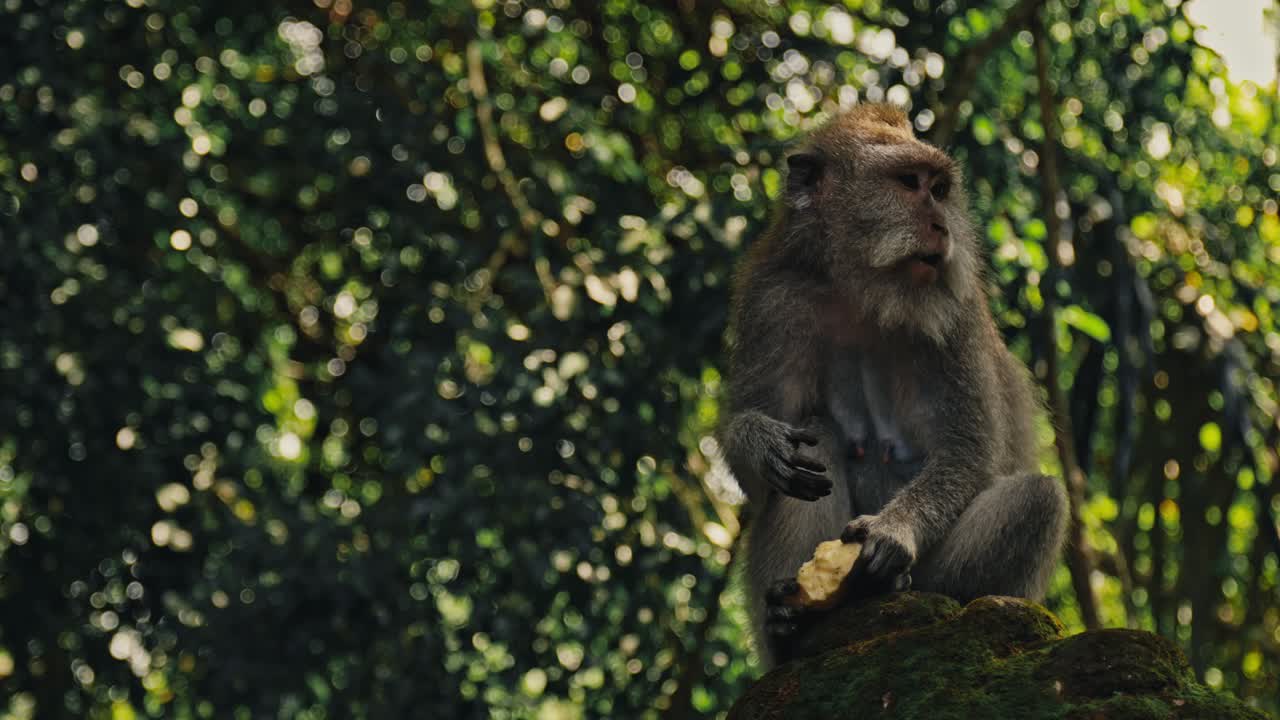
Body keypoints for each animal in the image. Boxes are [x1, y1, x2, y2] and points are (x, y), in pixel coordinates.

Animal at [718, 103, 1069, 667]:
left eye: (940, 190)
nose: (941, 226)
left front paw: (894, 531)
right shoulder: (772, 300)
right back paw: (788, 624)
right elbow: (763, 470)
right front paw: (759, 440)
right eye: (909, 183)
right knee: (814, 443)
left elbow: (967, 453)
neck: (863, 290)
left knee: (1040, 498)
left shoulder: (958, 315)